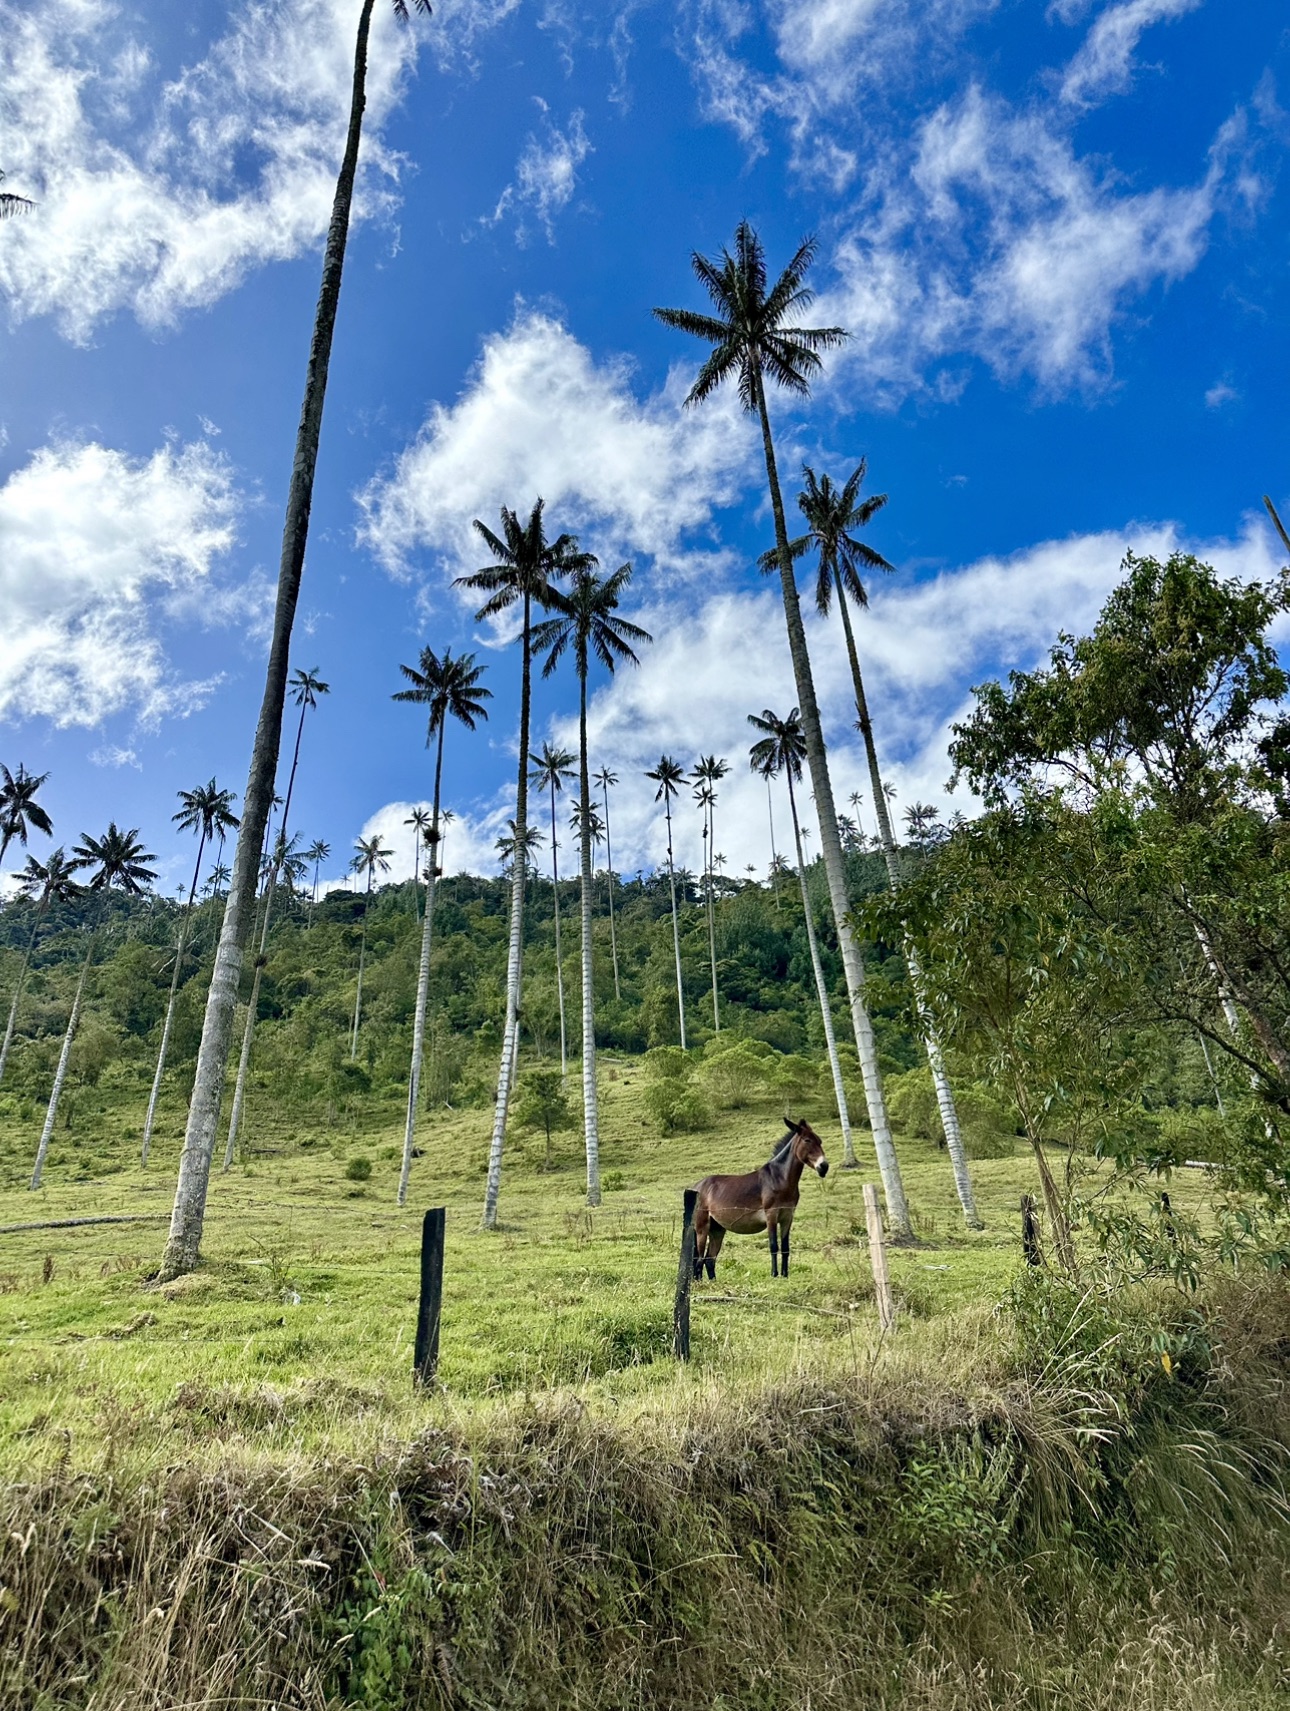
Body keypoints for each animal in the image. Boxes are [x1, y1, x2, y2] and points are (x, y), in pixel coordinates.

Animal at [694, 1115, 824, 1279]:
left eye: (820, 1140)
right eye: (807, 1140)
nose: (824, 1167)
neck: (779, 1179)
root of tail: (697, 1186)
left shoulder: (787, 1216)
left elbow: (785, 1247)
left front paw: (785, 1274)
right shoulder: (771, 1215)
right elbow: (774, 1245)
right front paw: (774, 1274)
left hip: (717, 1229)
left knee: (709, 1260)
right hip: (702, 1227)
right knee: (699, 1259)